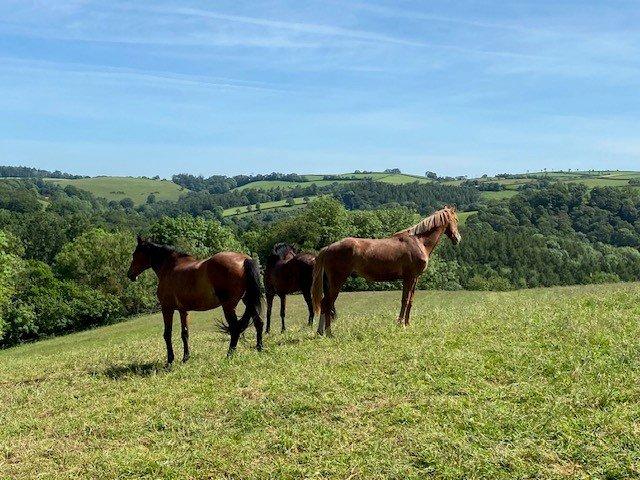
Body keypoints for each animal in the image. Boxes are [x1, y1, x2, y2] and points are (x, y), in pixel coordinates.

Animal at [127, 236, 263, 360]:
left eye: (134, 254)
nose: (130, 275)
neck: (169, 267)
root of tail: (244, 259)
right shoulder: (183, 311)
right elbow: (185, 333)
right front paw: (185, 357)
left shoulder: (167, 309)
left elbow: (167, 334)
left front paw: (170, 361)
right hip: (248, 301)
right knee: (259, 322)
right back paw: (259, 348)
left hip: (229, 306)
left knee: (235, 329)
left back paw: (229, 355)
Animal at [311, 206, 461, 336]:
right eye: (456, 219)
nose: (458, 238)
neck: (419, 241)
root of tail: (328, 248)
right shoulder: (409, 277)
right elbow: (405, 300)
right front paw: (401, 324)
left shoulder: (415, 278)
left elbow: (410, 301)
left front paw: (408, 324)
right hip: (337, 281)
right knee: (328, 303)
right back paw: (329, 333)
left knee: (324, 304)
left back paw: (320, 332)